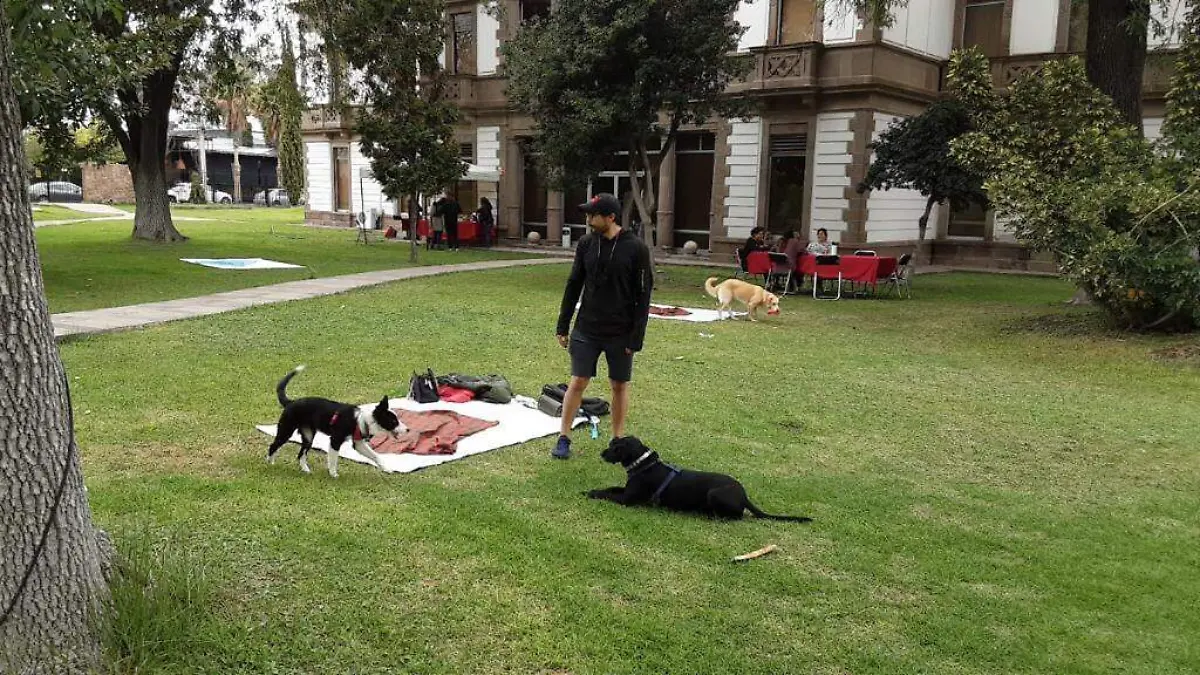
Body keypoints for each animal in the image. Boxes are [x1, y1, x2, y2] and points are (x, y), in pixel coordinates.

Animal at [266, 365, 405, 475]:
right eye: (394, 422)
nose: (407, 429)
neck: (361, 419)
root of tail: (291, 402)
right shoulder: (335, 440)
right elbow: (333, 459)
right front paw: (333, 474)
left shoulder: (358, 444)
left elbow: (375, 455)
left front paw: (386, 468)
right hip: (286, 430)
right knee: (273, 446)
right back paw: (270, 463)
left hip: (308, 436)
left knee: (301, 454)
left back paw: (306, 470)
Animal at [590, 432, 816, 523]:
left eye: (616, 447)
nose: (601, 453)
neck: (645, 464)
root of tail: (744, 495)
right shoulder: (626, 491)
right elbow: (610, 488)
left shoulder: (627, 500)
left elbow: (607, 494)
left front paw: (590, 492)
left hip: (714, 494)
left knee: (736, 516)